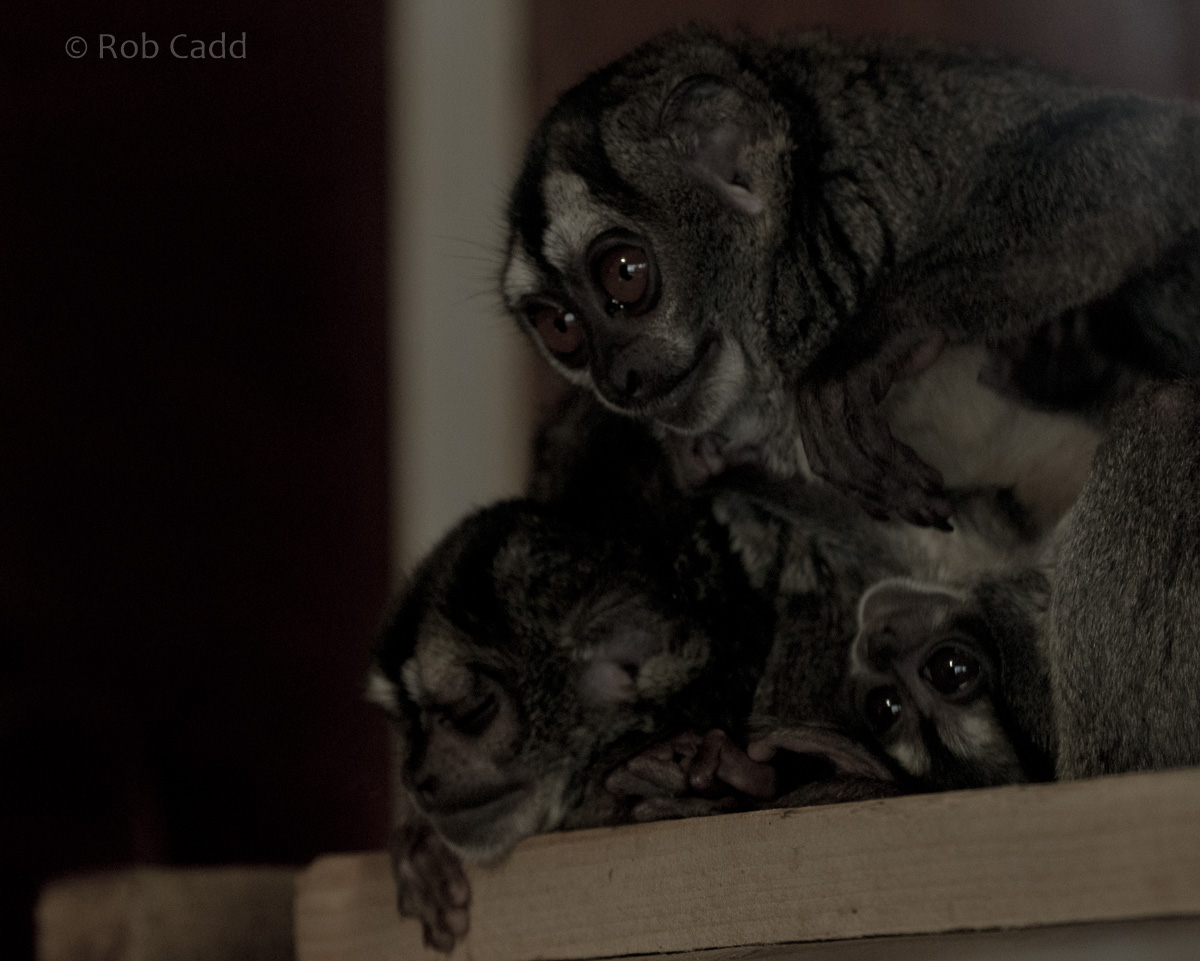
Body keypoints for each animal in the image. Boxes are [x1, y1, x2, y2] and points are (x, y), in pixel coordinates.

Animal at [500, 26, 1197, 527]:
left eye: (625, 274)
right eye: (561, 327)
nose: (617, 379)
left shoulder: (903, 160)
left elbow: (1147, 147)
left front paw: (876, 338)